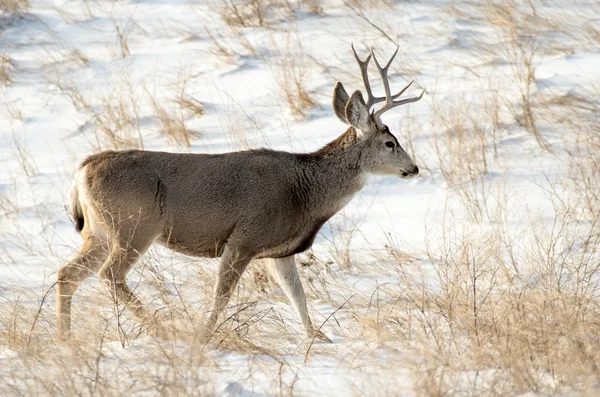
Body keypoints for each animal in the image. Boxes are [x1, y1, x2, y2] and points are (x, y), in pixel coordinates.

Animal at [56, 42, 422, 340]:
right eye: (390, 143)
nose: (414, 168)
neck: (305, 193)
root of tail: (83, 170)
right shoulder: (244, 238)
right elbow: (222, 295)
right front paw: (203, 335)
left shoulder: (278, 251)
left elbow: (297, 294)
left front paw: (317, 338)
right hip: (135, 225)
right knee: (109, 274)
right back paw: (163, 328)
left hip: (99, 232)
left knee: (67, 274)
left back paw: (66, 339)